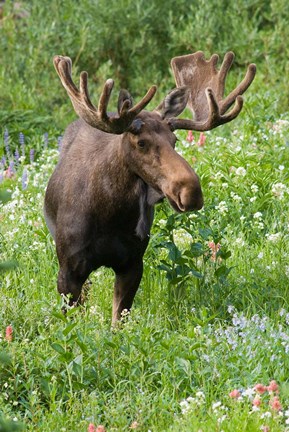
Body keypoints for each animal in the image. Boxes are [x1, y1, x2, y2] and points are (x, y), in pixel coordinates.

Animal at [44, 51, 255, 324]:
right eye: (141, 143)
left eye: (174, 140)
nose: (191, 192)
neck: (111, 215)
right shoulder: (68, 270)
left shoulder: (133, 263)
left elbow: (118, 321)